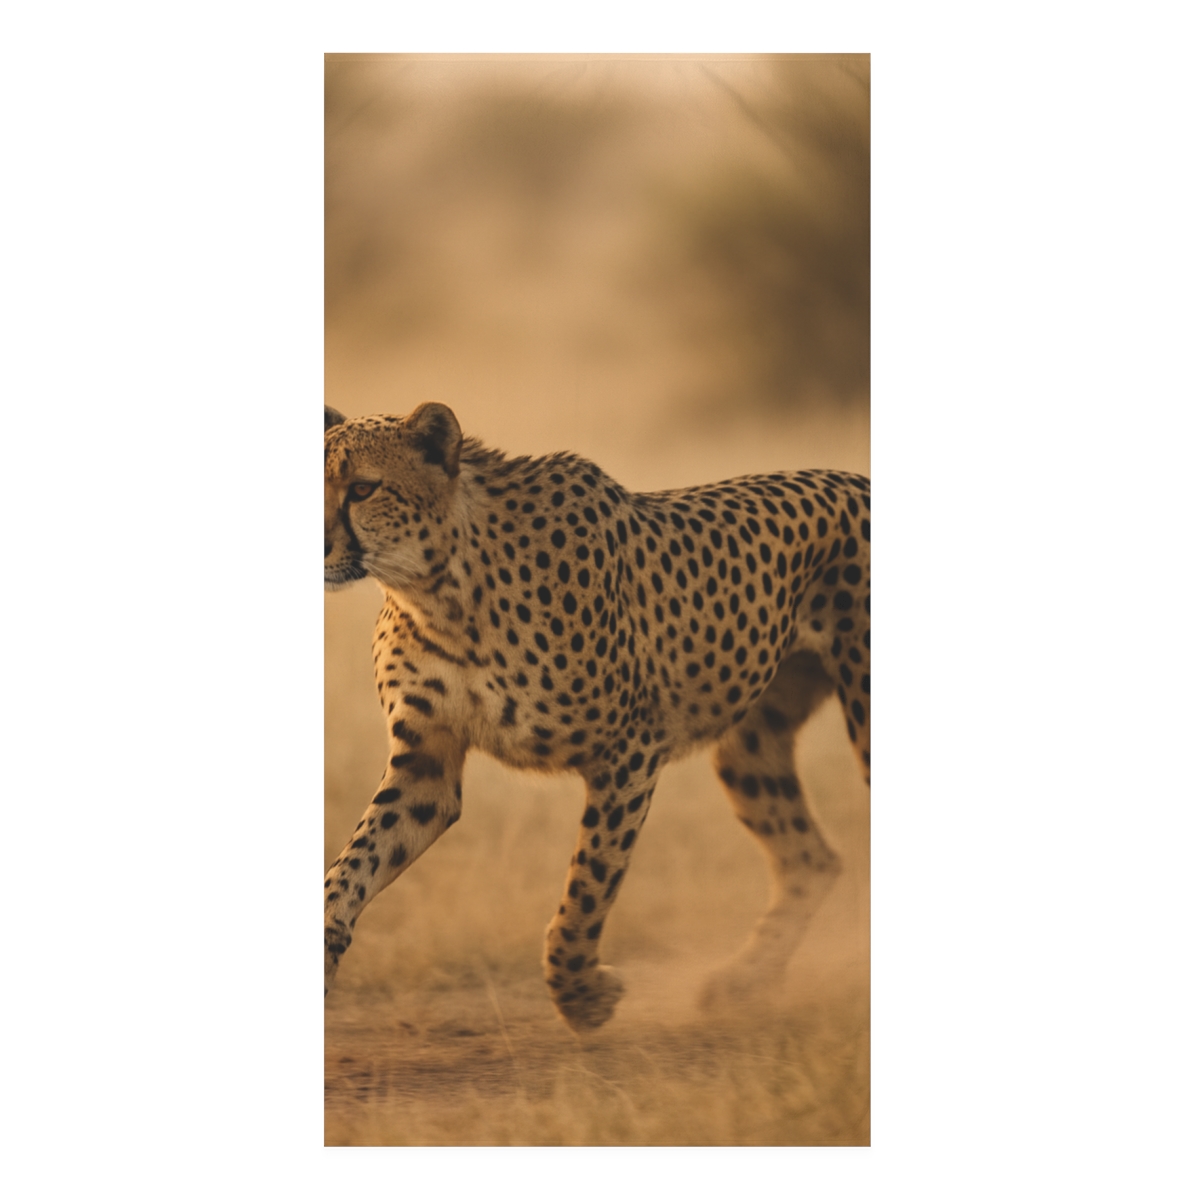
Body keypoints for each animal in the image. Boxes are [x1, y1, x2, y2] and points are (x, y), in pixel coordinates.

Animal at [324, 401, 870, 1032]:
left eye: (363, 488)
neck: (440, 589)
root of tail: (857, 479)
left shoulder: (629, 752)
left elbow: (590, 881)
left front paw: (581, 996)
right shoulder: (425, 765)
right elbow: (352, 867)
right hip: (749, 746)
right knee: (812, 860)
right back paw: (744, 980)